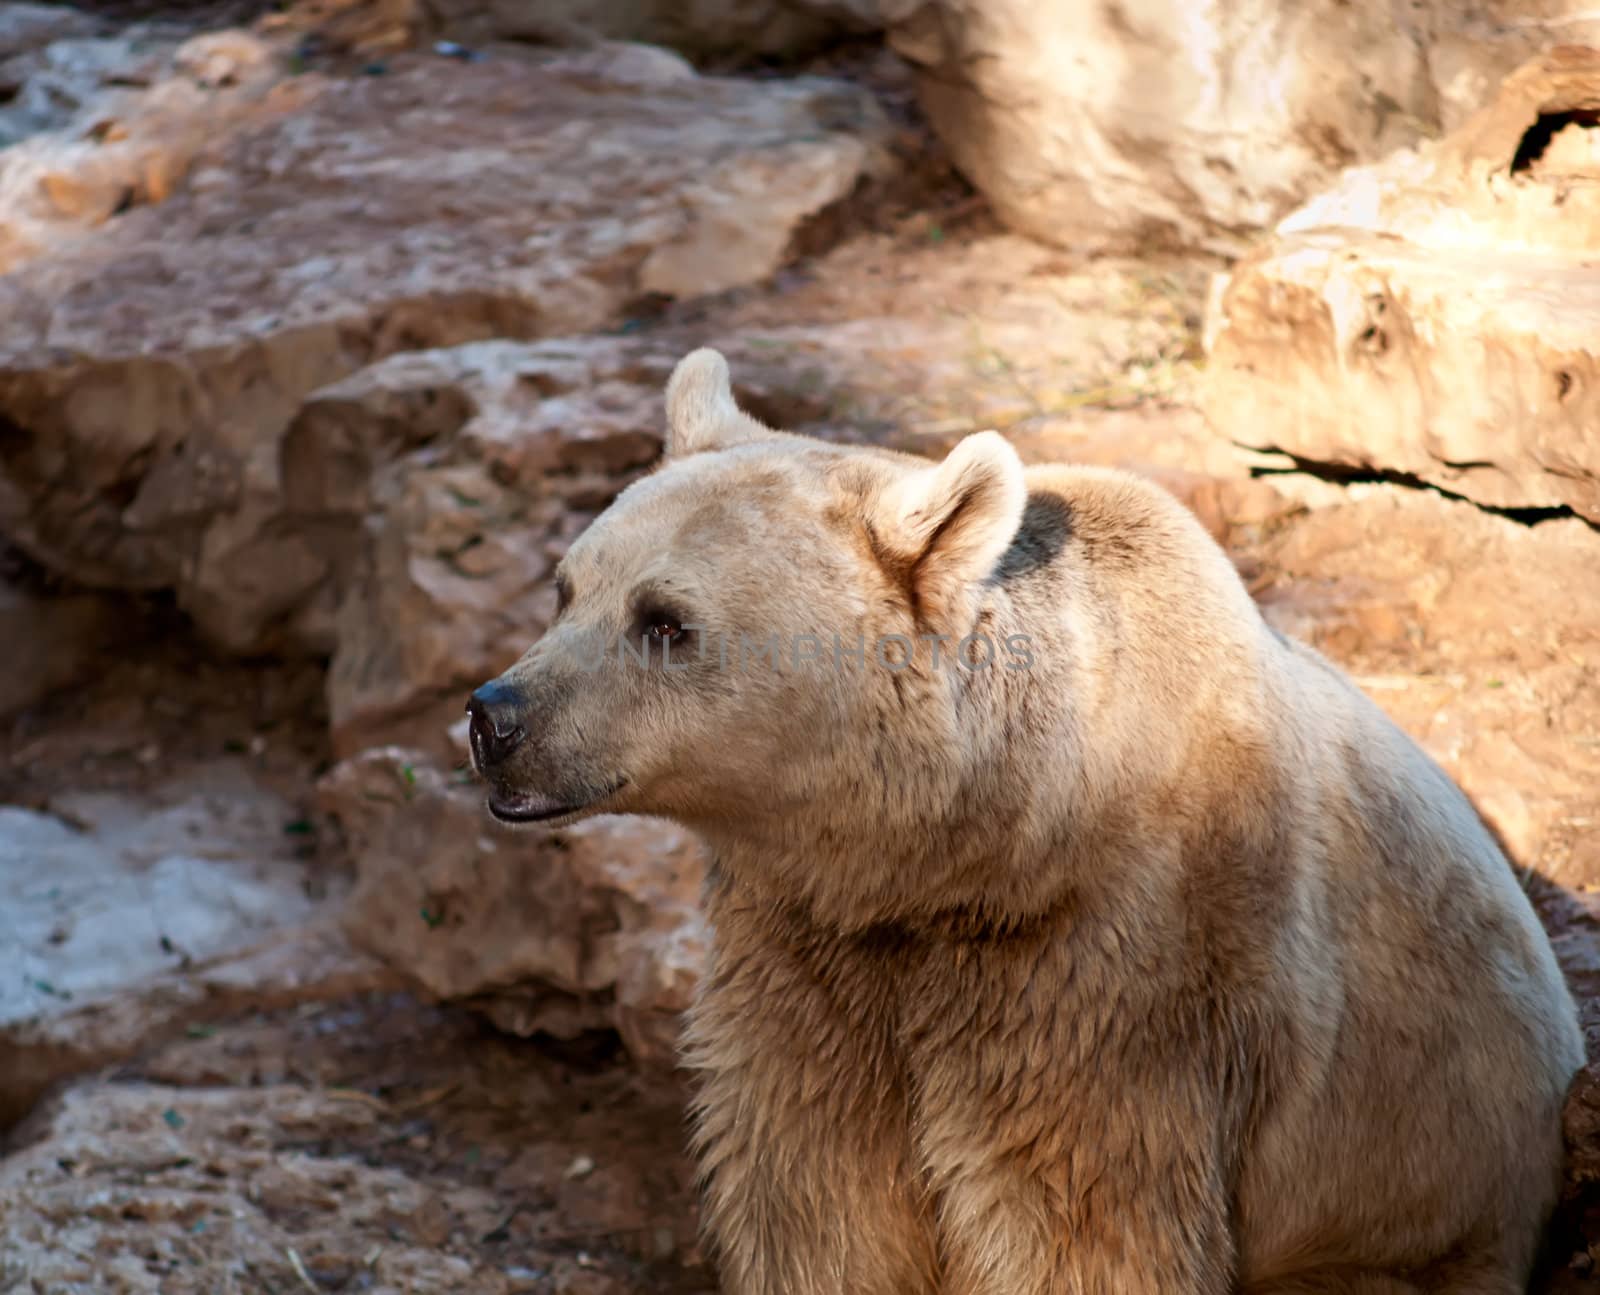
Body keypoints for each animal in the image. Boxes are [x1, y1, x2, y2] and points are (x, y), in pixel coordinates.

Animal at [467, 348, 1580, 1286]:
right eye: (567, 585)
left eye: (664, 621)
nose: (493, 717)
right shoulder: (808, 951)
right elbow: (818, 1191)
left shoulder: (1110, 981)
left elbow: (1076, 1218)